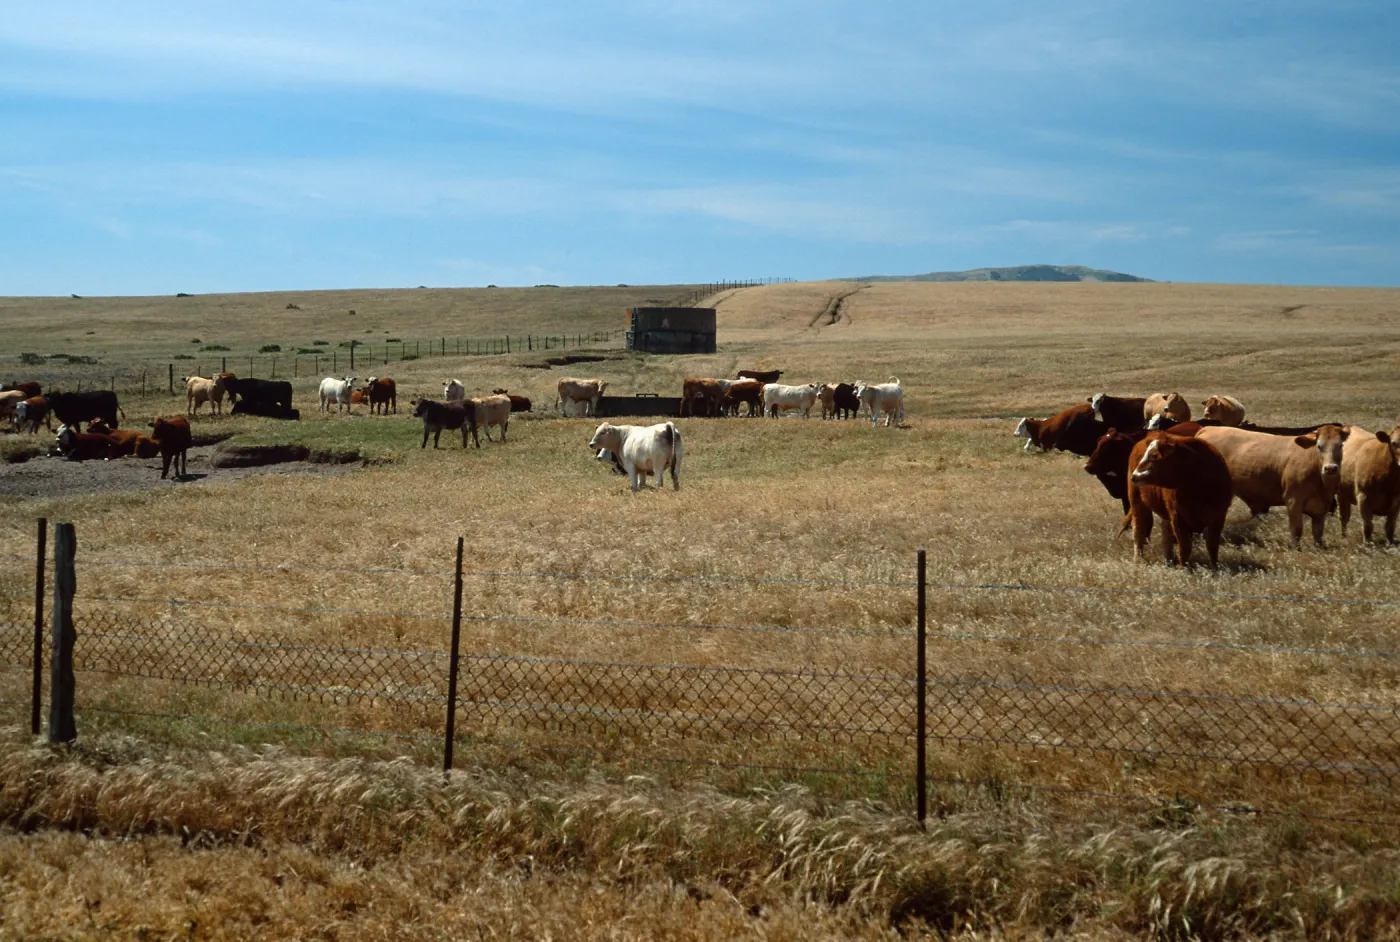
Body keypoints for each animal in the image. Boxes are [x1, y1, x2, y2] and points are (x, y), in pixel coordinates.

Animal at [1122, 433, 1233, 568]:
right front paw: (1184, 568)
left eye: (1154, 455)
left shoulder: (1219, 516)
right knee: (1139, 530)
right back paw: (1138, 559)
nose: (1134, 476)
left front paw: (1215, 567)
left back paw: (1169, 560)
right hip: (1137, 501)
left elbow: (1212, 545)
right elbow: (1185, 547)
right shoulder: (1178, 518)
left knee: (1165, 531)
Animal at [1196, 424, 1350, 548]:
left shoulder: (1322, 507)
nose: (1330, 468)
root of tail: (1208, 429)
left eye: (1340, 446)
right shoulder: (1293, 501)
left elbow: (1318, 533)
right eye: (1319, 446)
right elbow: (1296, 529)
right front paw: (1296, 549)